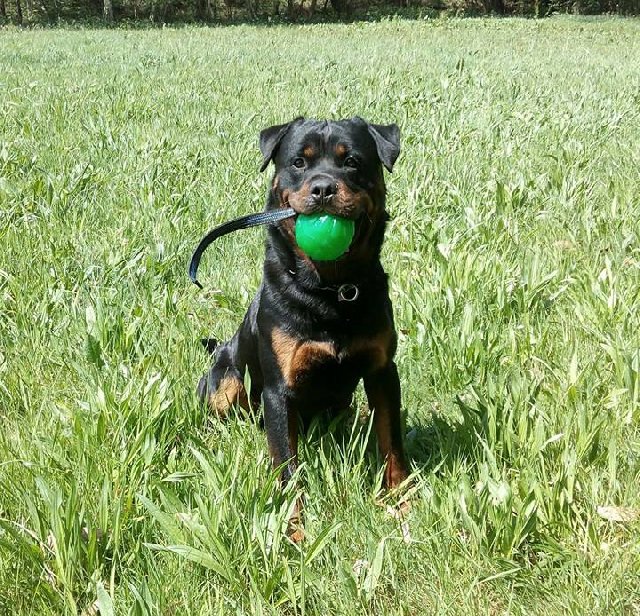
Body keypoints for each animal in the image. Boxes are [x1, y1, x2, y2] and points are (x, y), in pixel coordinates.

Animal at [197, 117, 408, 539]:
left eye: (352, 161)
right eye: (298, 162)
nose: (323, 188)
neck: (330, 289)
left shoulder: (383, 370)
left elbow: (391, 440)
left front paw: (402, 502)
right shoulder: (279, 390)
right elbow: (287, 468)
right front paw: (293, 530)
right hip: (225, 377)